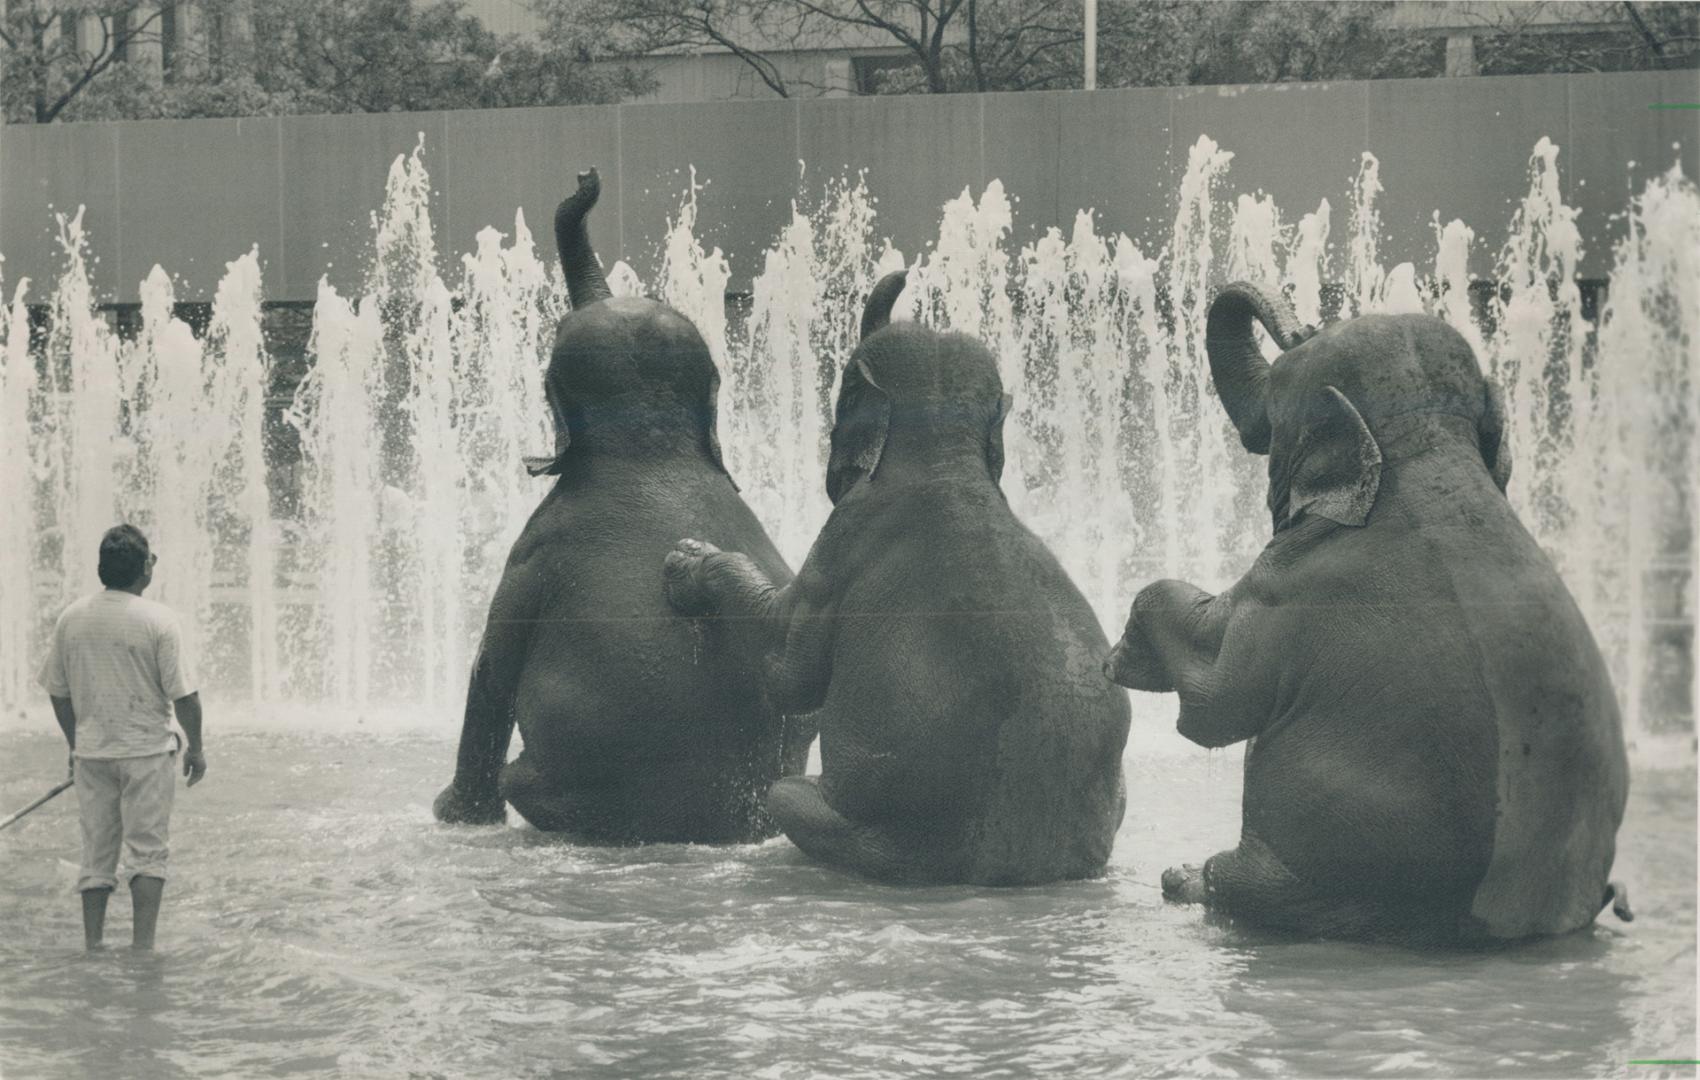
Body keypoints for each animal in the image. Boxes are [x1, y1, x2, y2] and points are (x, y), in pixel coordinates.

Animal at [435, 169, 812, 843]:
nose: (586, 181)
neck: (652, 445)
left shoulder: (533, 554)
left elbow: (491, 670)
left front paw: (455, 816)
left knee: (518, 774)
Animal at [659, 272, 1128, 884]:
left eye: (841, 396)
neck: (946, 459)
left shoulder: (847, 533)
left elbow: (790, 674)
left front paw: (684, 560)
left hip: (881, 832)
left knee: (785, 794)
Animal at [1101, 280, 1632, 945]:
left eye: (1280, 387)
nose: (1302, 322)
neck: (1427, 451)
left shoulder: (1296, 590)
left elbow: (1214, 707)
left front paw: (1118, 661)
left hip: (1336, 879)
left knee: (1237, 881)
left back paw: (1181, 878)